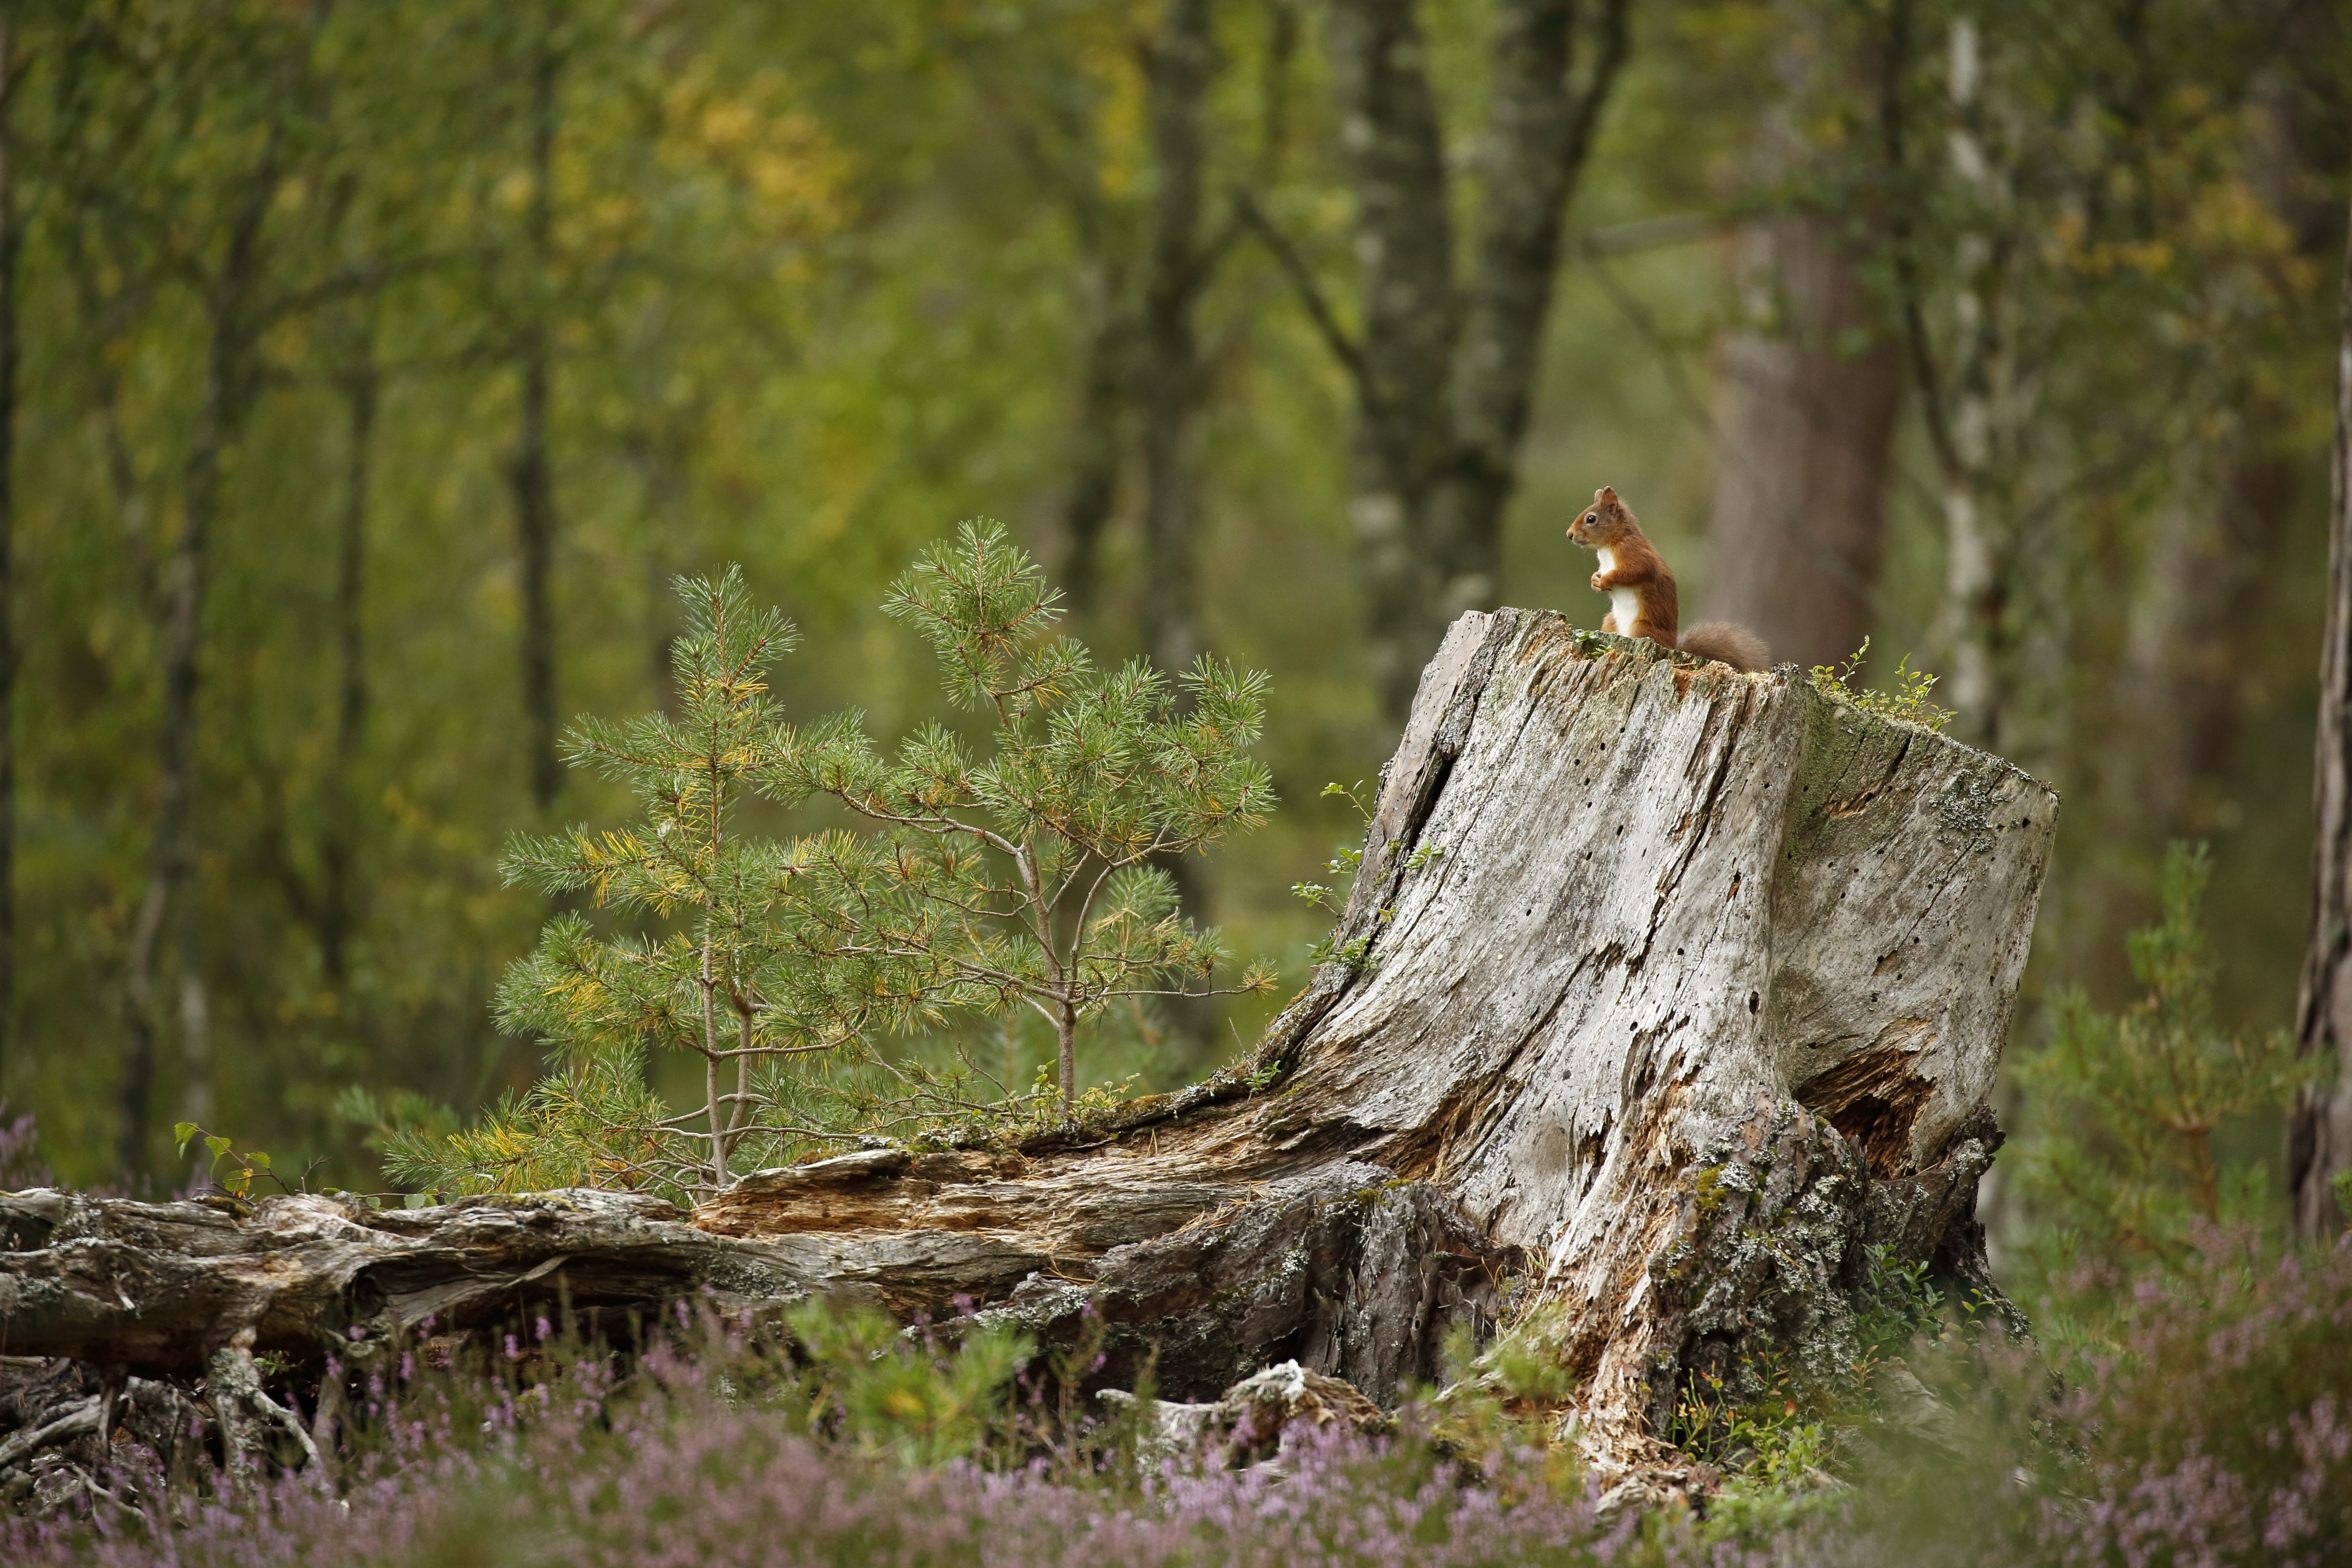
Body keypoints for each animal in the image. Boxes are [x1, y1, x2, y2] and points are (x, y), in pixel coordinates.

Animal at [1561, 482, 1768, 672]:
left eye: (1591, 519)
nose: (1569, 534)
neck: (1609, 546)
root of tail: (1672, 646)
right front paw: (1595, 581)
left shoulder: (1636, 555)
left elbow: (1637, 572)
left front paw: (1605, 580)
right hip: (1611, 622)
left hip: (1642, 629)